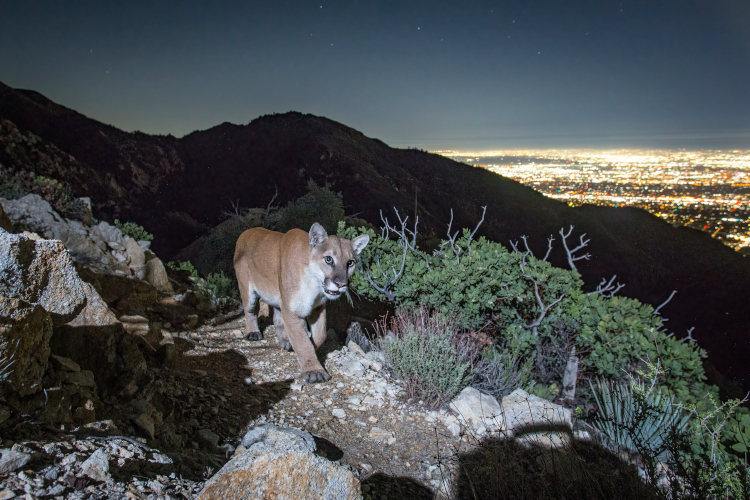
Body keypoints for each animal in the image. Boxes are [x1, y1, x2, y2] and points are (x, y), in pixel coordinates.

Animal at [232, 223, 368, 382]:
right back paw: (253, 333)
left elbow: (320, 335)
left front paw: (312, 349)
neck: (314, 284)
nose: (341, 284)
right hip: (247, 290)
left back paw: (286, 341)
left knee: (277, 317)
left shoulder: (317, 307)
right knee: (250, 311)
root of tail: (246, 231)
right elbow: (302, 341)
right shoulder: (292, 310)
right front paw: (313, 371)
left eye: (350, 262)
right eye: (328, 259)